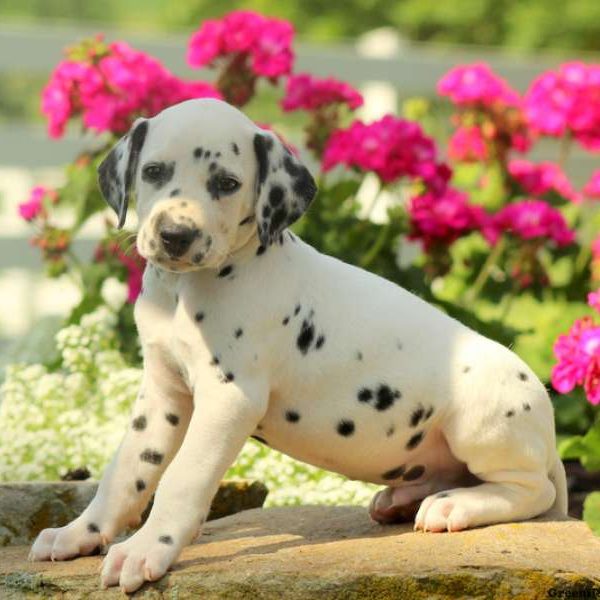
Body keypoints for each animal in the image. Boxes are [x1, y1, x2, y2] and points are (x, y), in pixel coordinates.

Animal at [30, 98, 568, 592]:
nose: (175, 235)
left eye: (227, 184)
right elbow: (126, 473)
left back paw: (456, 504)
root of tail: (548, 428)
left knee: (530, 490)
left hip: (481, 422)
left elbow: (182, 479)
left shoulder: (228, 398)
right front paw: (80, 533)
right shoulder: (163, 394)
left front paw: (146, 549)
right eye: (154, 172)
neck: (187, 290)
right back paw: (402, 498)